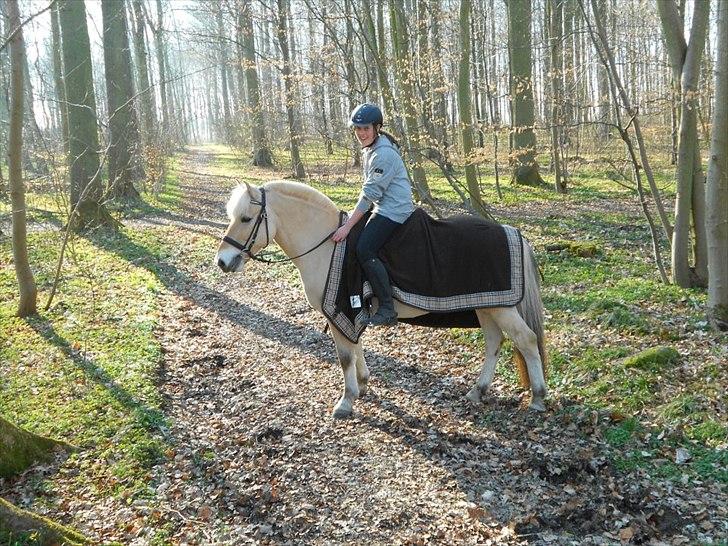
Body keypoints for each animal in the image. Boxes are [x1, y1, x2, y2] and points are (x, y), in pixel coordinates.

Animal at [215, 180, 547, 418]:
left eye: (246, 218)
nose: (223, 261)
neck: (327, 245)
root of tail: (514, 232)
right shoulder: (348, 312)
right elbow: (356, 347)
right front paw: (362, 385)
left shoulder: (339, 311)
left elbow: (345, 355)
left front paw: (346, 401)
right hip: (486, 306)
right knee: (494, 342)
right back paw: (478, 391)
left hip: (500, 307)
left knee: (527, 340)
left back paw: (538, 398)